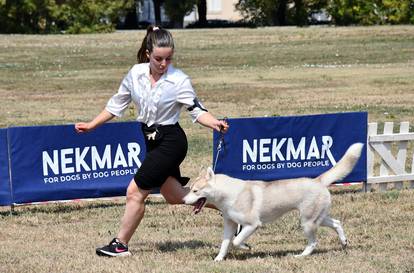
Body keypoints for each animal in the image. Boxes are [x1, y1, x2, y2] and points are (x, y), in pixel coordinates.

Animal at [184, 142, 362, 260]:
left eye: (195, 191)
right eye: (190, 188)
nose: (183, 200)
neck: (229, 194)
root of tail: (317, 180)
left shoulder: (253, 225)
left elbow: (236, 240)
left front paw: (246, 247)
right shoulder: (230, 224)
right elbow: (225, 244)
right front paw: (218, 260)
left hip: (307, 222)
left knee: (313, 242)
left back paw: (301, 255)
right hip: (317, 217)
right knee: (337, 223)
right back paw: (344, 242)